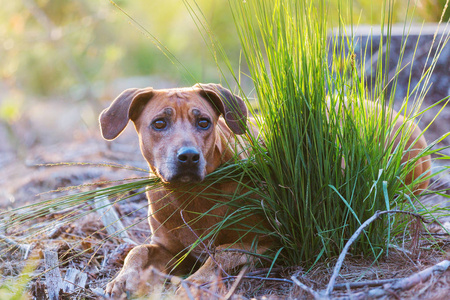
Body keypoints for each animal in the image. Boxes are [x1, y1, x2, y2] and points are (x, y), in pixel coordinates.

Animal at [100, 83, 430, 296]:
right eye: (159, 123)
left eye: (203, 122)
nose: (189, 156)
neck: (192, 194)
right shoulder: (170, 249)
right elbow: (139, 250)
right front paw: (124, 279)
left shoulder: (265, 242)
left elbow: (220, 254)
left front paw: (193, 282)